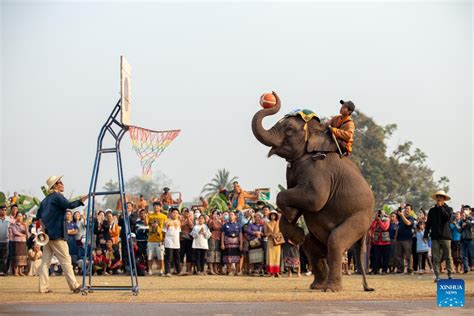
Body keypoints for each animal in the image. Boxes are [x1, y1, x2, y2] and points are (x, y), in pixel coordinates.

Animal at [252, 90, 374, 292]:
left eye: (289, 129)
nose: (270, 96)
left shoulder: (319, 170)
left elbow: (313, 199)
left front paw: (292, 215)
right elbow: (297, 199)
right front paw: (295, 225)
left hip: (360, 219)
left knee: (336, 242)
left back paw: (331, 289)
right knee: (311, 246)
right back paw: (317, 285)